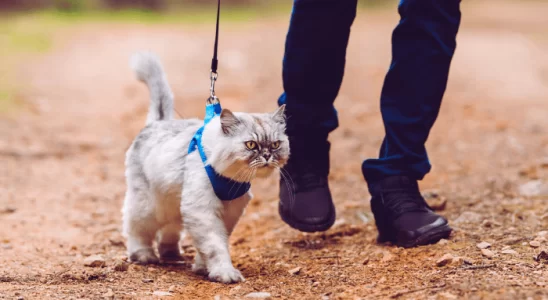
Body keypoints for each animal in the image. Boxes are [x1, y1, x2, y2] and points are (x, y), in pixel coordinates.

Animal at [121, 52, 288, 284]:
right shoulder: (203, 211)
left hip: (173, 204)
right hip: (148, 206)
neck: (230, 178)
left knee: (170, 231)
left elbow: (209, 246)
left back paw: (171, 254)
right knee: (137, 230)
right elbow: (215, 246)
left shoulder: (228, 211)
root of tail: (158, 122)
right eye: (251, 145)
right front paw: (224, 273)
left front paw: (203, 268)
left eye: (275, 145)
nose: (266, 156)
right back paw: (144, 255)